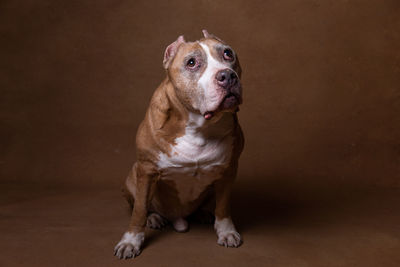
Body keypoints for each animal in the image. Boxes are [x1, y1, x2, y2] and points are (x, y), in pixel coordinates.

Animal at [113, 30, 244, 260]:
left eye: (228, 54)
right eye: (191, 63)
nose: (227, 76)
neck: (198, 126)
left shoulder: (228, 170)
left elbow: (223, 206)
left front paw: (226, 232)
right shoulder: (147, 170)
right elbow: (139, 210)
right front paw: (130, 241)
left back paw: (202, 214)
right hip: (132, 178)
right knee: (142, 204)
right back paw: (154, 218)